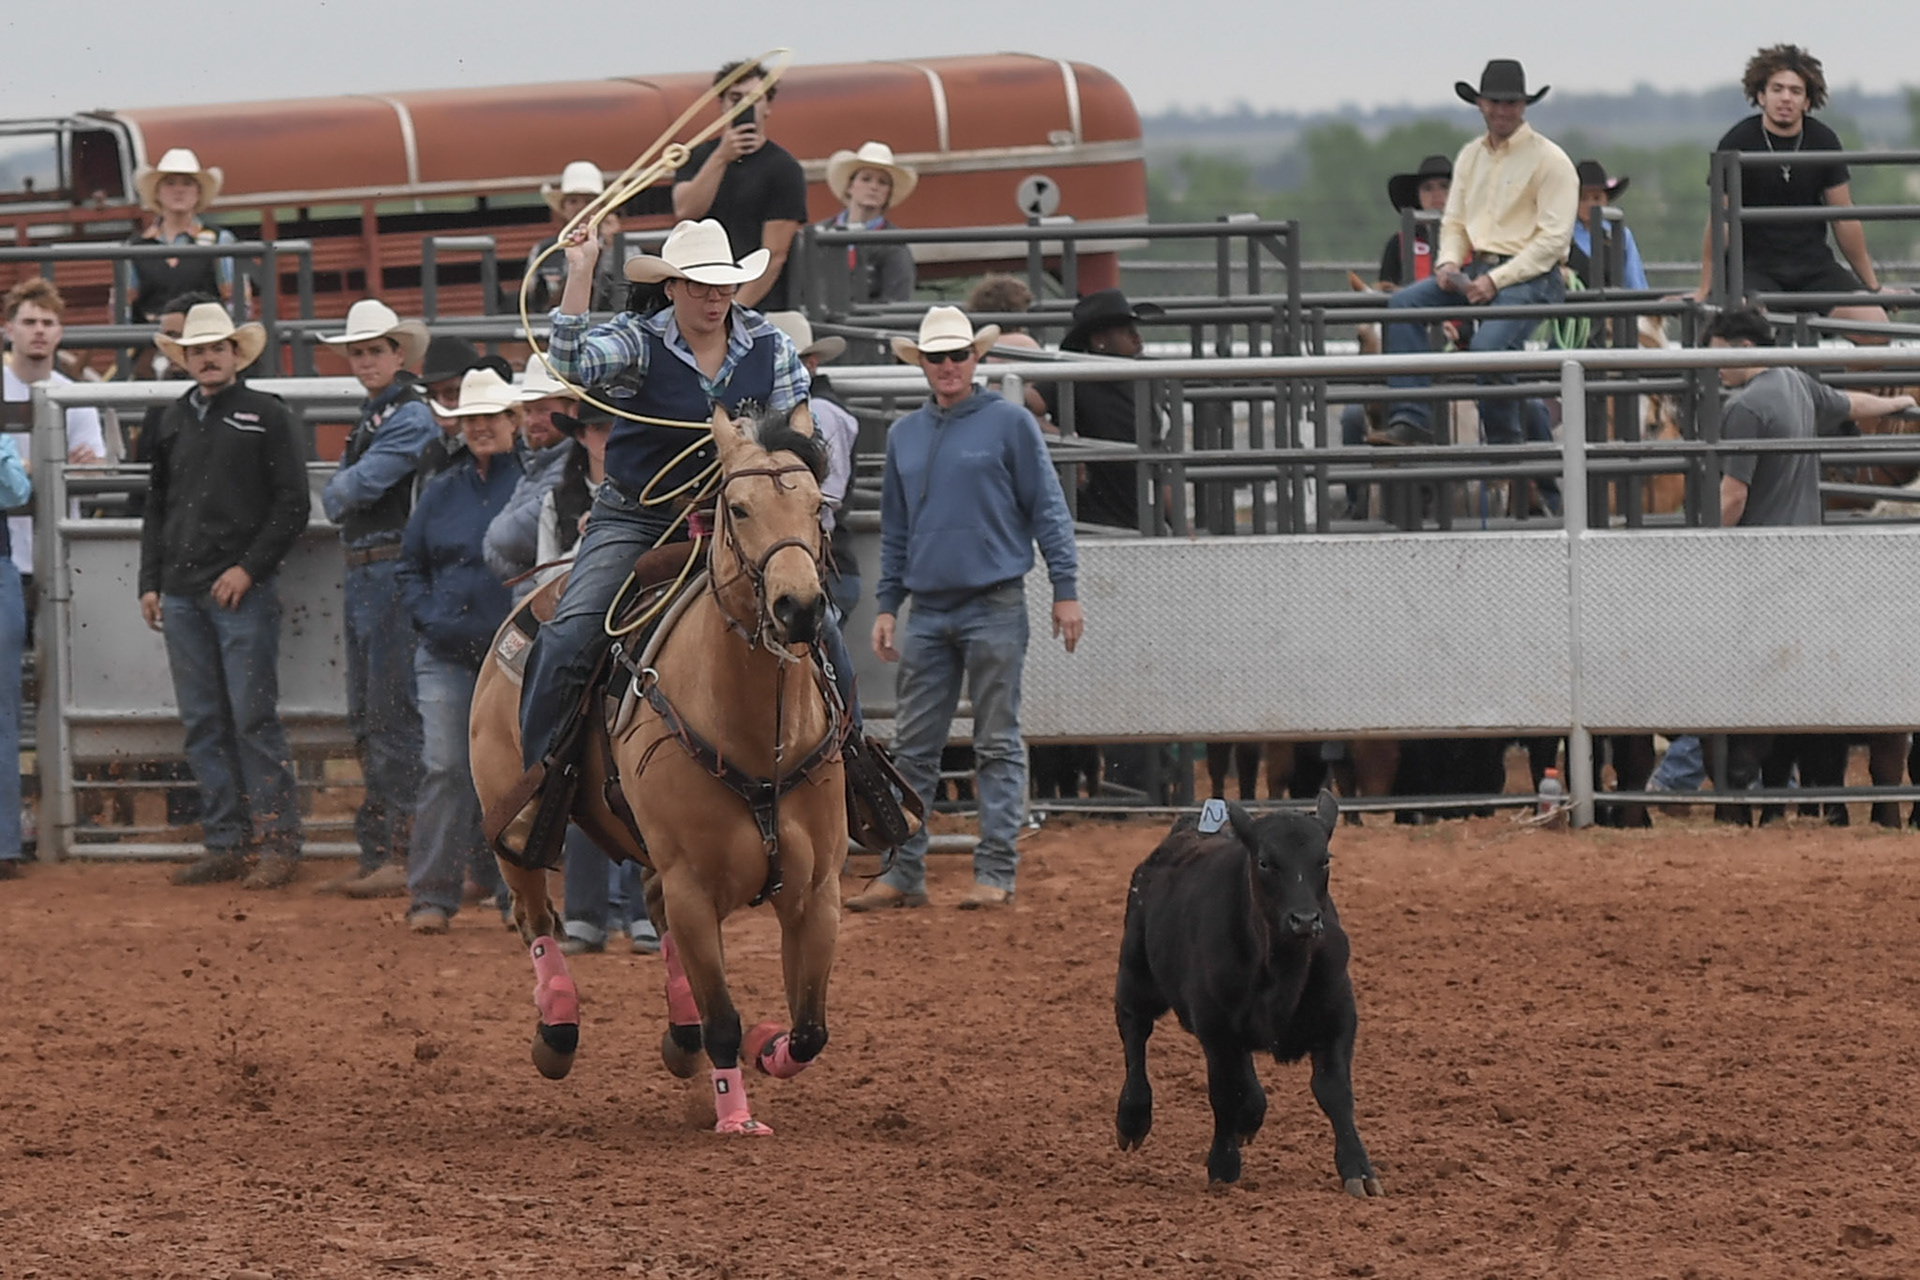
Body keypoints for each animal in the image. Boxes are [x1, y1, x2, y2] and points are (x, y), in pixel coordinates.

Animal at [470, 402, 847, 1136]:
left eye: (818, 505)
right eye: (739, 508)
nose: (799, 607)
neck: (755, 734)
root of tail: (533, 600)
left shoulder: (816, 889)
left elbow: (810, 1030)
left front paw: (767, 1047)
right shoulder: (693, 886)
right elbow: (726, 1019)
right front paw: (736, 1115)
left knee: (647, 910)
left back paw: (681, 1039)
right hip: (514, 823)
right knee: (536, 917)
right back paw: (557, 1030)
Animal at [1114, 792, 1383, 1194]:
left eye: (1324, 859)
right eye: (1265, 862)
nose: (1305, 920)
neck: (1281, 969)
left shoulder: (1338, 1018)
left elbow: (1335, 1091)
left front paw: (1358, 1169)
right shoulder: (1215, 1028)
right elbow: (1225, 1093)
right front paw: (1223, 1166)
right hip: (1135, 971)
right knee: (1134, 1031)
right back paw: (1132, 1117)